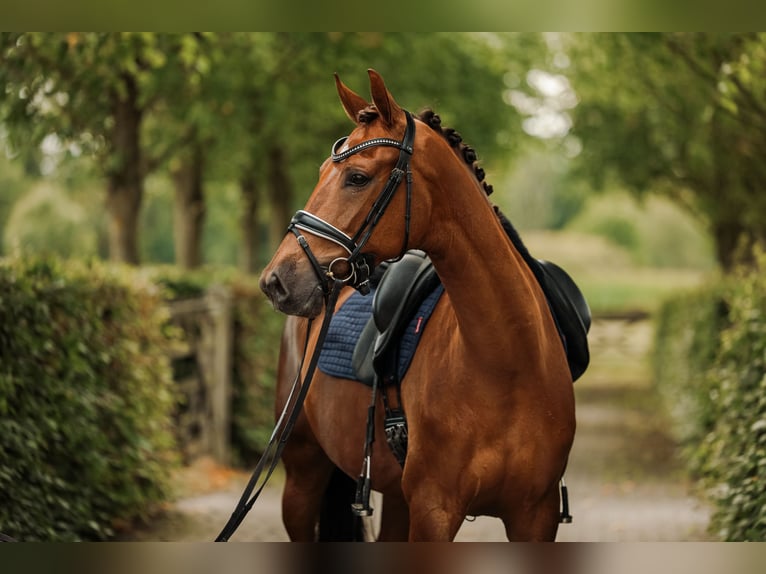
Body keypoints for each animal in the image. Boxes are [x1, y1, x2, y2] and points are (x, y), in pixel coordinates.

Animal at [259, 69, 576, 541]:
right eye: (321, 172)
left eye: (356, 177)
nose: (276, 281)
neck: (508, 360)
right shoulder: (434, 511)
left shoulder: (535, 516)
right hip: (302, 477)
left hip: (394, 499)